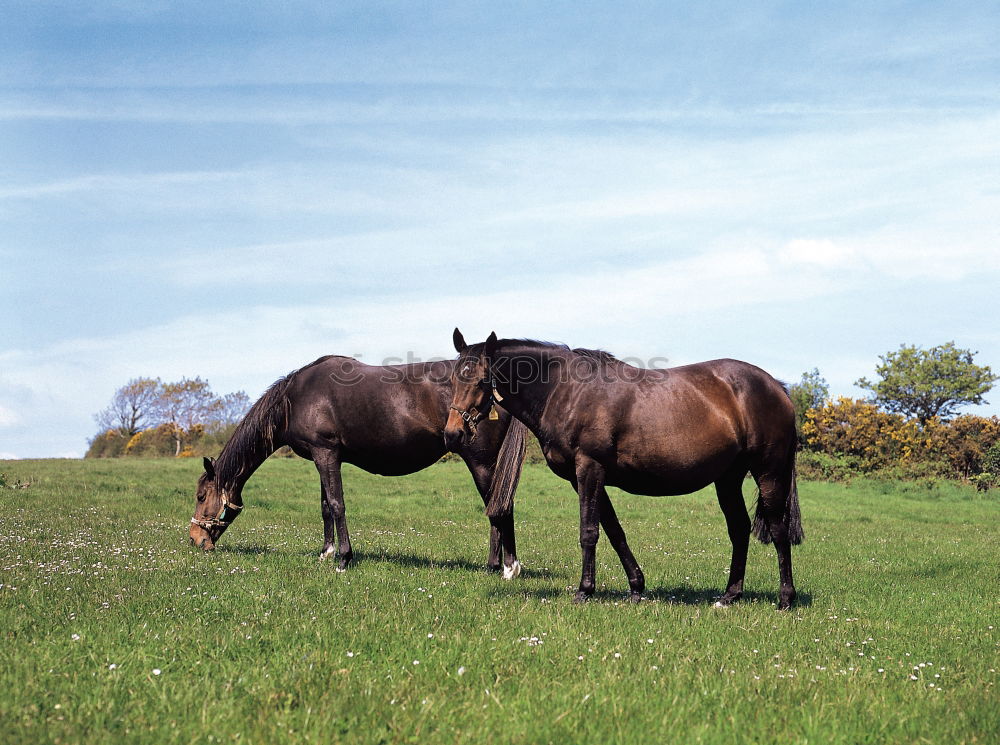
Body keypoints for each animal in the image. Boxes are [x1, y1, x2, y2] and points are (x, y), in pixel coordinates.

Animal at [190, 354, 528, 576]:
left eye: (200, 496)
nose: (196, 540)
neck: (295, 398)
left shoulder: (326, 453)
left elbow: (337, 504)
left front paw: (343, 559)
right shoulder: (321, 456)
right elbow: (325, 505)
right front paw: (325, 553)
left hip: (481, 462)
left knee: (501, 506)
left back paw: (506, 567)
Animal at [446, 328, 804, 608]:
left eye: (482, 379)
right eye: (452, 378)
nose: (453, 434)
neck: (566, 390)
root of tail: (777, 387)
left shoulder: (589, 469)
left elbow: (589, 532)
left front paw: (584, 591)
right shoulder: (586, 478)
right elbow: (614, 531)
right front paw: (636, 588)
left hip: (769, 473)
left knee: (778, 529)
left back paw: (786, 598)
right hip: (727, 479)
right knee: (739, 528)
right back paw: (729, 596)